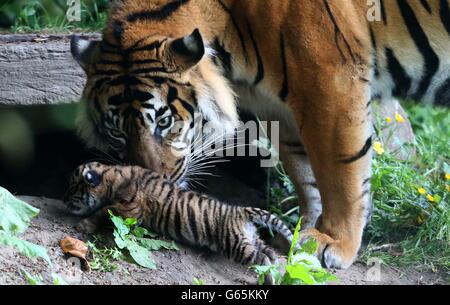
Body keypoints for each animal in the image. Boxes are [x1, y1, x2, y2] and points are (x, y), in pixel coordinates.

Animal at [70, 0, 450, 268]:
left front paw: (333, 241)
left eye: (163, 122)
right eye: (117, 132)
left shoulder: (333, 81)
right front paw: (300, 230)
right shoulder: (281, 106)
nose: (149, 184)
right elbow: (305, 173)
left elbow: (341, 171)